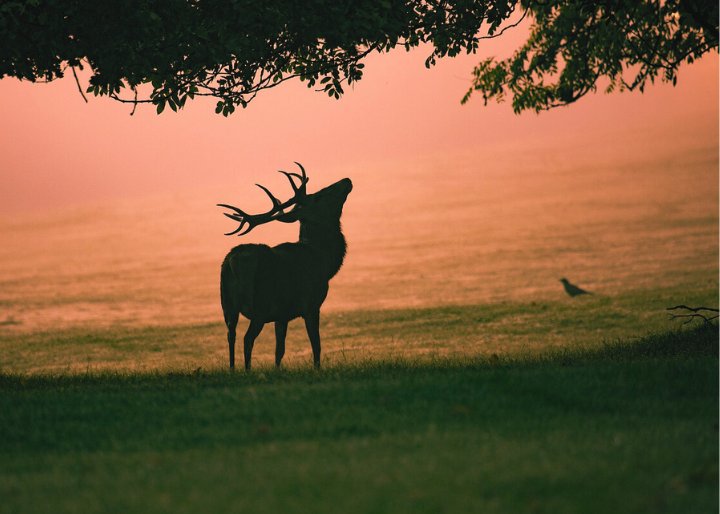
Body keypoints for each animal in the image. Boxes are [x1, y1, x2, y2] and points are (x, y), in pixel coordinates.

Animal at [219, 163, 354, 368]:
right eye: (318, 196)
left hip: (227, 305)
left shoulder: (281, 315)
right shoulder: (311, 304)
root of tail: (232, 262)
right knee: (247, 339)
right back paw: (247, 370)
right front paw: (317, 369)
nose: (346, 180)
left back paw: (233, 370)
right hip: (259, 304)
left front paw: (277, 370)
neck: (324, 261)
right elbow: (316, 345)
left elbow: (279, 351)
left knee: (230, 335)